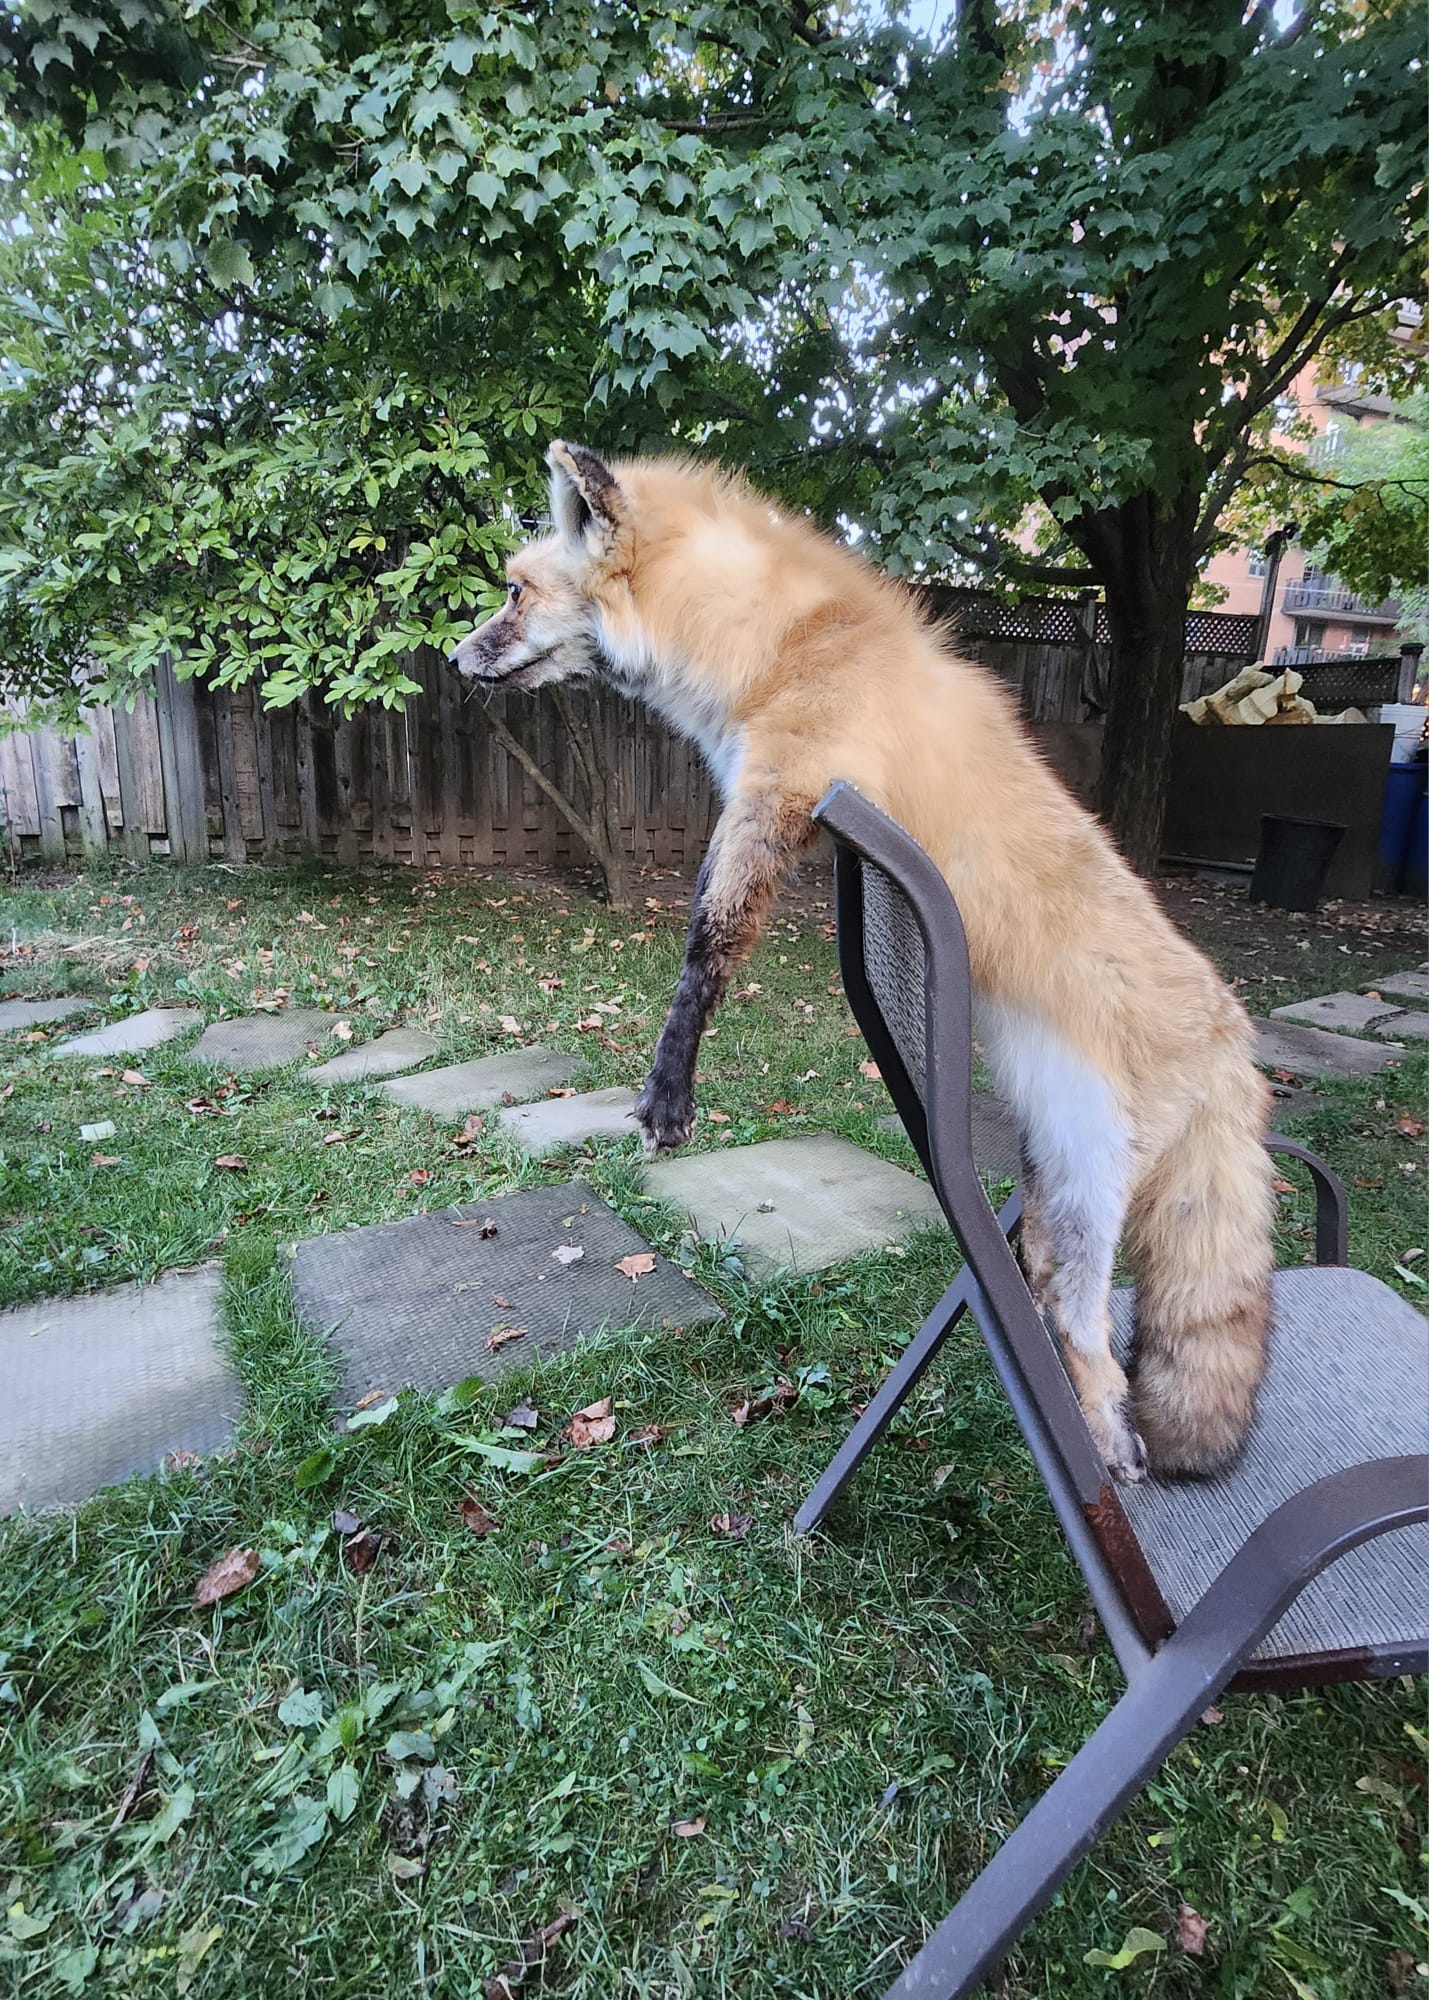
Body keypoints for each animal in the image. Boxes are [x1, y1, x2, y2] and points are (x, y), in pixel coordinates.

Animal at [448, 441, 1276, 1483]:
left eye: (513, 593)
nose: (452, 659)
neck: (782, 642)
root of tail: (1237, 1038)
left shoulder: (778, 796)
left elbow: (704, 952)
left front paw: (669, 1094)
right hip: (1051, 1174)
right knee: (1046, 1289)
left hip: (1094, 1180)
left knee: (1089, 1330)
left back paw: (1105, 1439)